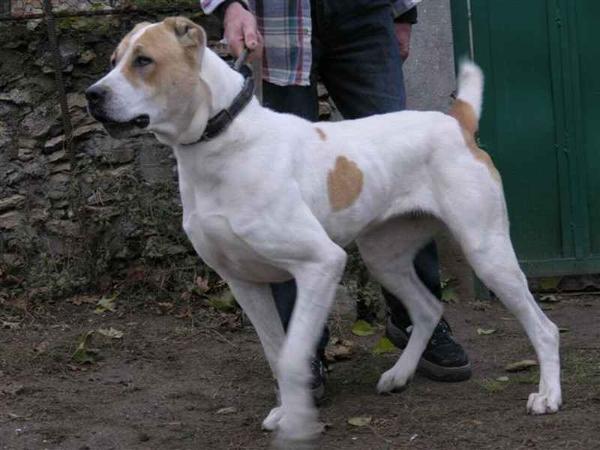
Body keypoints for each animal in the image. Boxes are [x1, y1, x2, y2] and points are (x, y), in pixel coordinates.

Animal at [88, 16, 564, 446]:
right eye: (112, 61)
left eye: (144, 60)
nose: (93, 95)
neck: (219, 143)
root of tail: (455, 120)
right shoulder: (244, 282)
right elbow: (276, 353)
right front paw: (288, 408)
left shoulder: (320, 264)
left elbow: (294, 353)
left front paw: (299, 420)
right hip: (384, 258)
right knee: (428, 308)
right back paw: (399, 374)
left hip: (487, 252)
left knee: (543, 327)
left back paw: (547, 395)